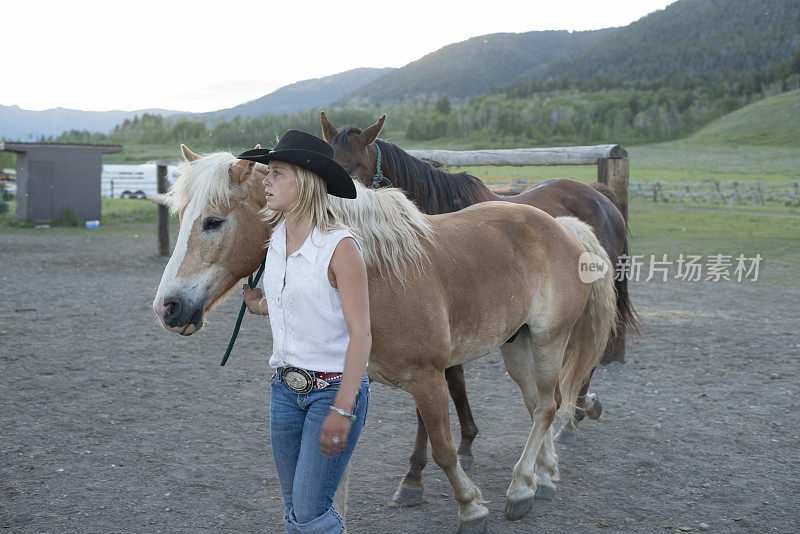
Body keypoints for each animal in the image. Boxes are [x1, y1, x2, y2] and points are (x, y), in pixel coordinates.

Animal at [153, 147, 616, 534]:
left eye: (213, 221)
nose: (168, 308)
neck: (374, 272)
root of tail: (563, 227)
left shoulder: (429, 378)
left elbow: (444, 448)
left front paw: (470, 507)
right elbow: (337, 477)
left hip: (548, 340)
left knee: (547, 407)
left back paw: (520, 488)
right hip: (517, 346)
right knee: (541, 404)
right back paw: (543, 477)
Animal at [318, 111, 636, 504]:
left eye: (353, 168)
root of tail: (599, 195)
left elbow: (437, 400)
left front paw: (416, 474)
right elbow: (454, 385)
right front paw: (464, 443)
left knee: (583, 363)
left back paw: (575, 417)